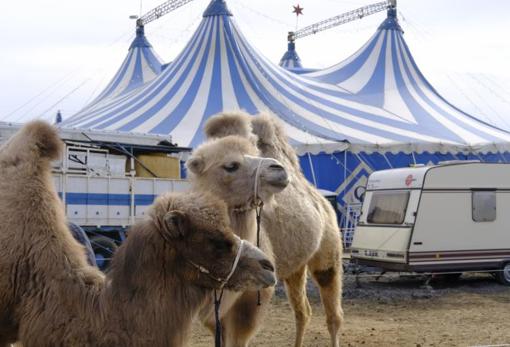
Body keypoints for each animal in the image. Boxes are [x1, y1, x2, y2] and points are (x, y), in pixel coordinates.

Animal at [203, 113, 342, 347]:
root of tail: (322, 200)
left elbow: (238, 336)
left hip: (328, 250)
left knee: (333, 313)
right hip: (295, 267)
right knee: (303, 311)